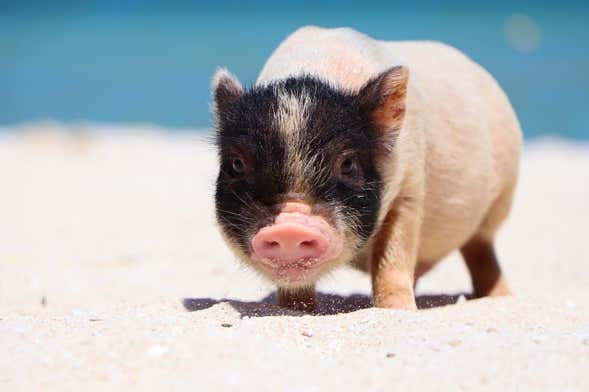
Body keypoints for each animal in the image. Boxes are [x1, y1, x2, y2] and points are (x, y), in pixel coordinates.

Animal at [210, 26, 520, 312]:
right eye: (237, 164)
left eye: (348, 164)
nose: (289, 228)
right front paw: (295, 310)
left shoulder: (410, 185)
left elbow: (392, 255)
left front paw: (400, 312)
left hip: (501, 198)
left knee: (481, 248)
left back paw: (501, 297)